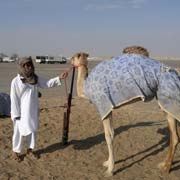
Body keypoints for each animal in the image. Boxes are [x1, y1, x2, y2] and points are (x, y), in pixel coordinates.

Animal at [70, 47, 180, 176]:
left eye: (73, 57)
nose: (70, 60)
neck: (86, 87)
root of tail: (175, 73)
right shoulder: (110, 109)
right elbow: (112, 133)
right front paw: (107, 163)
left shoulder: (104, 105)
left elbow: (108, 136)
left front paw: (109, 170)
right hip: (167, 103)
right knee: (175, 135)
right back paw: (164, 165)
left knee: (175, 136)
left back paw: (166, 168)